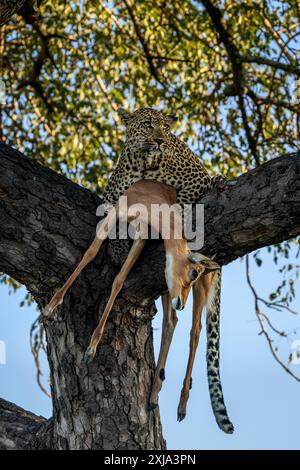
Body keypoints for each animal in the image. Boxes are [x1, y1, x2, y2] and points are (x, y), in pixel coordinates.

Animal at [104, 107, 233, 434]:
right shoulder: (112, 196)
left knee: (196, 329)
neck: (144, 165)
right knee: (172, 320)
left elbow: (186, 200)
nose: (161, 140)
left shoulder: (194, 179)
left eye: (165, 127)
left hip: (201, 284)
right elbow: (113, 220)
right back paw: (156, 390)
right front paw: (118, 249)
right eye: (149, 125)